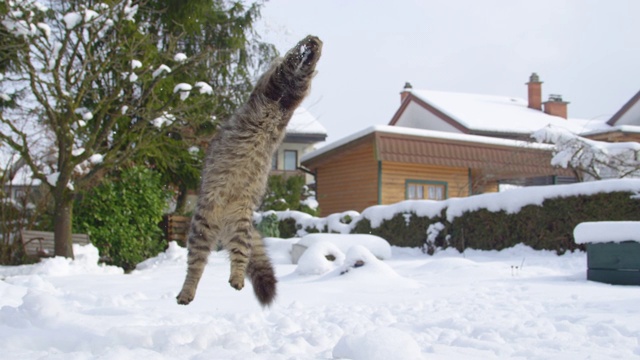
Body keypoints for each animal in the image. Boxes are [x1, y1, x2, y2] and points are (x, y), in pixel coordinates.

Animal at [176, 35, 322, 306]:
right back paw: (189, 290)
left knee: (239, 255)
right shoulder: (277, 88)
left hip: (240, 226)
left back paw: (236, 278)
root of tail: (225, 220)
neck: (278, 105)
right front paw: (307, 49)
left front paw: (312, 49)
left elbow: (297, 71)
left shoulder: (288, 92)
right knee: (196, 266)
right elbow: (290, 67)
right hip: (204, 224)